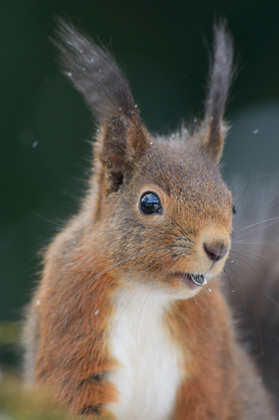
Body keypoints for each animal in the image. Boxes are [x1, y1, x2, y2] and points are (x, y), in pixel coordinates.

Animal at [21, 21, 278, 418]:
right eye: (149, 202)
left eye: (232, 206)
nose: (217, 248)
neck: (146, 293)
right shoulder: (70, 323)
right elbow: (77, 394)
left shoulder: (207, 359)